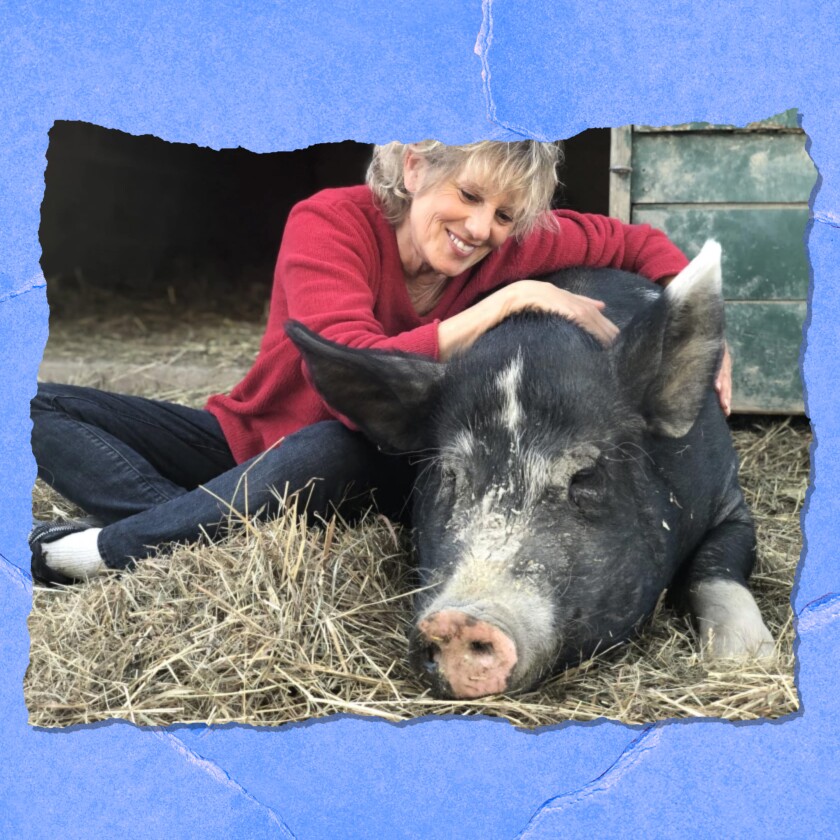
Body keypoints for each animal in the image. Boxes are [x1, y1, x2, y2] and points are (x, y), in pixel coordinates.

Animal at [288, 240, 776, 700]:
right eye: (448, 473)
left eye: (586, 475)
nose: (459, 620)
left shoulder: (729, 502)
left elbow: (716, 569)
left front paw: (748, 658)